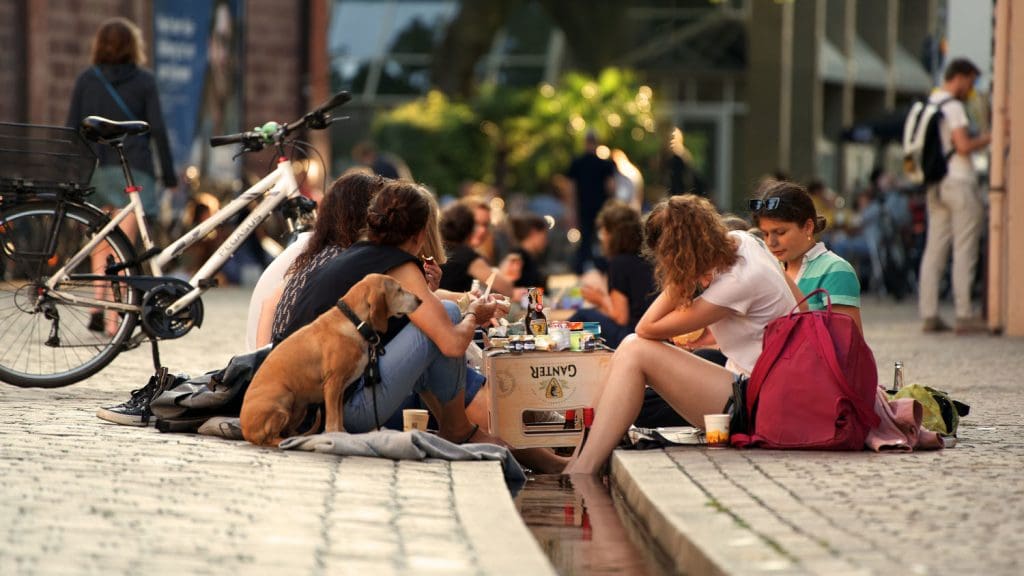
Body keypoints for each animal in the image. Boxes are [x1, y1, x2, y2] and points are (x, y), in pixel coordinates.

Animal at [239, 272, 419, 444]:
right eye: (399, 290)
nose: (420, 300)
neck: (354, 322)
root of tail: (247, 432)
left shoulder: (340, 389)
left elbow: (339, 417)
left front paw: (343, 434)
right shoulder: (333, 384)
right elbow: (332, 418)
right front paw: (334, 435)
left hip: (300, 407)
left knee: (289, 431)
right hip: (285, 401)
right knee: (270, 438)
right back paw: (286, 441)